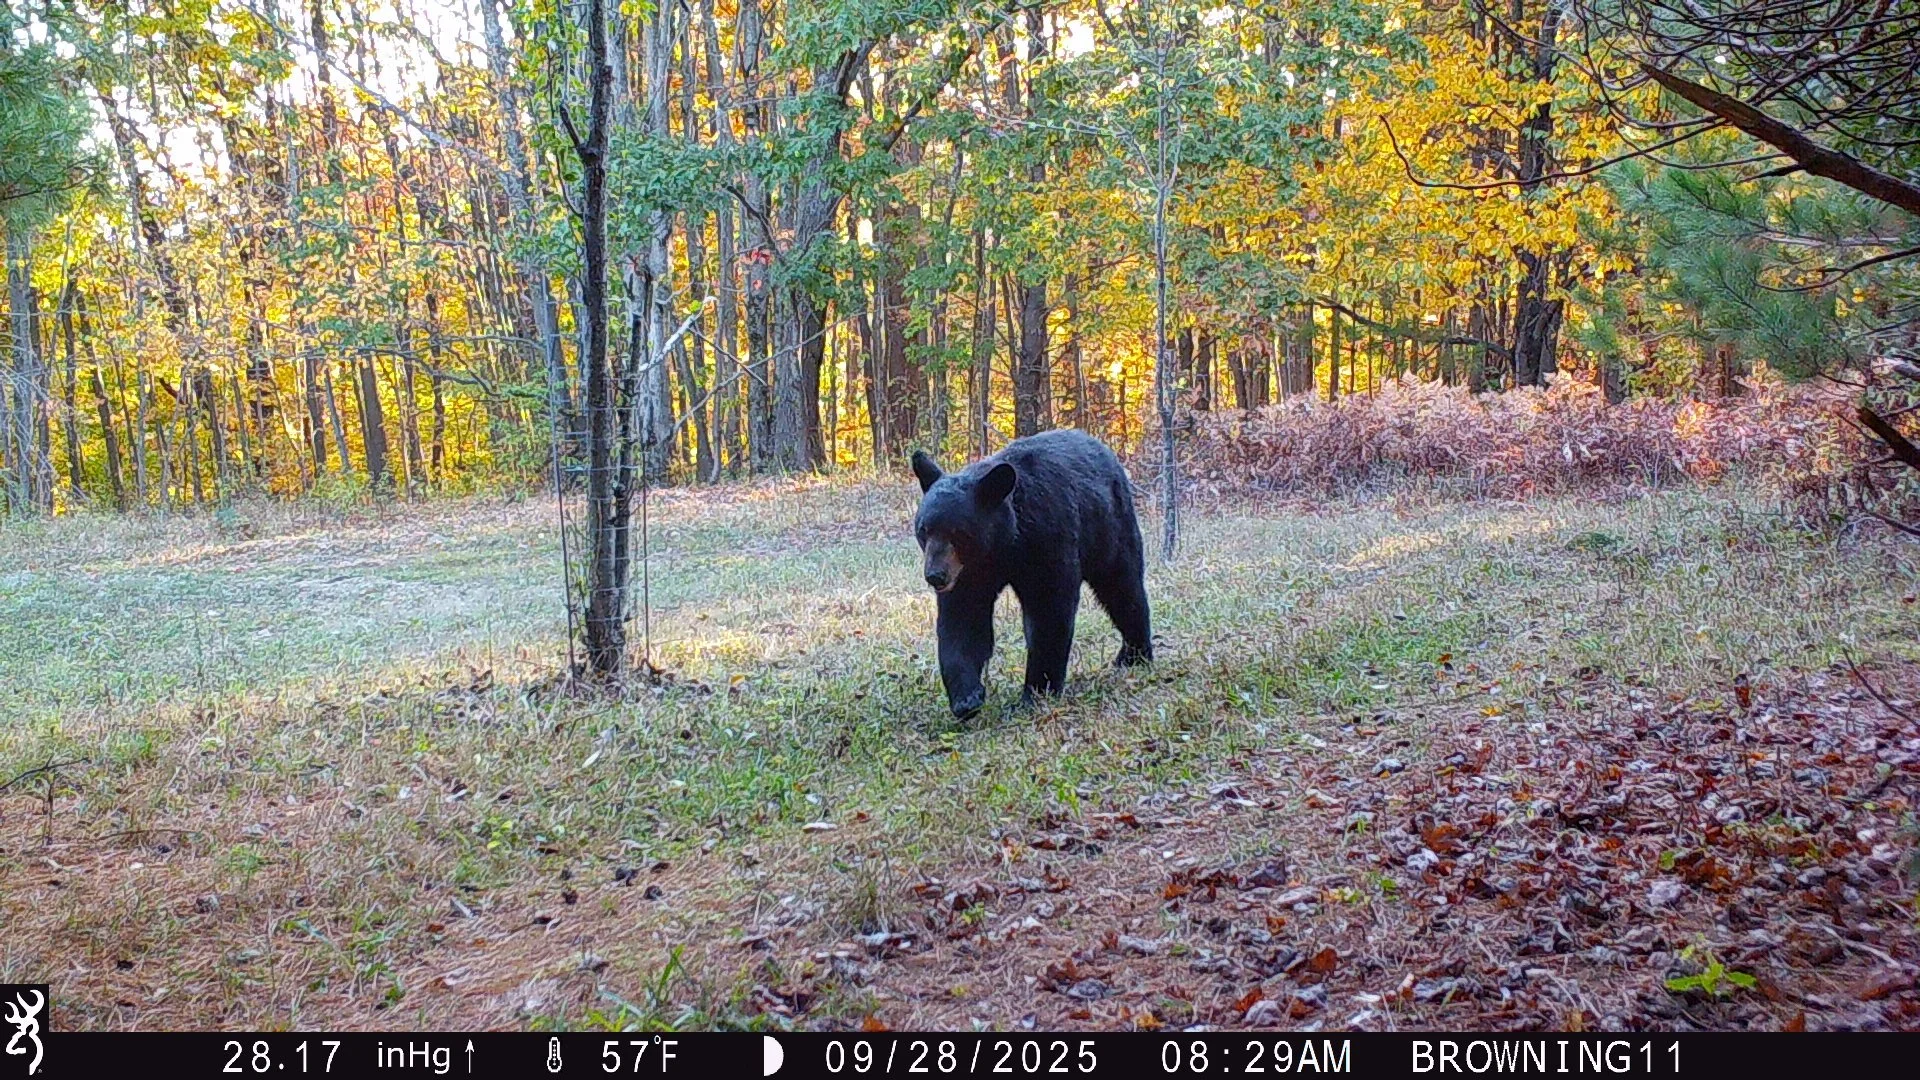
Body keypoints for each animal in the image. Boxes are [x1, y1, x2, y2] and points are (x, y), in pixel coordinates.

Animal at [910, 429, 1153, 719]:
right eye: (924, 530)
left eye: (958, 533)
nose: (935, 575)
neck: (1004, 544)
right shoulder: (969, 573)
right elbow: (964, 621)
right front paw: (966, 697)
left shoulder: (1047, 539)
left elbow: (1049, 610)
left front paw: (1036, 693)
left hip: (1109, 527)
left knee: (1122, 586)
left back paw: (1135, 654)